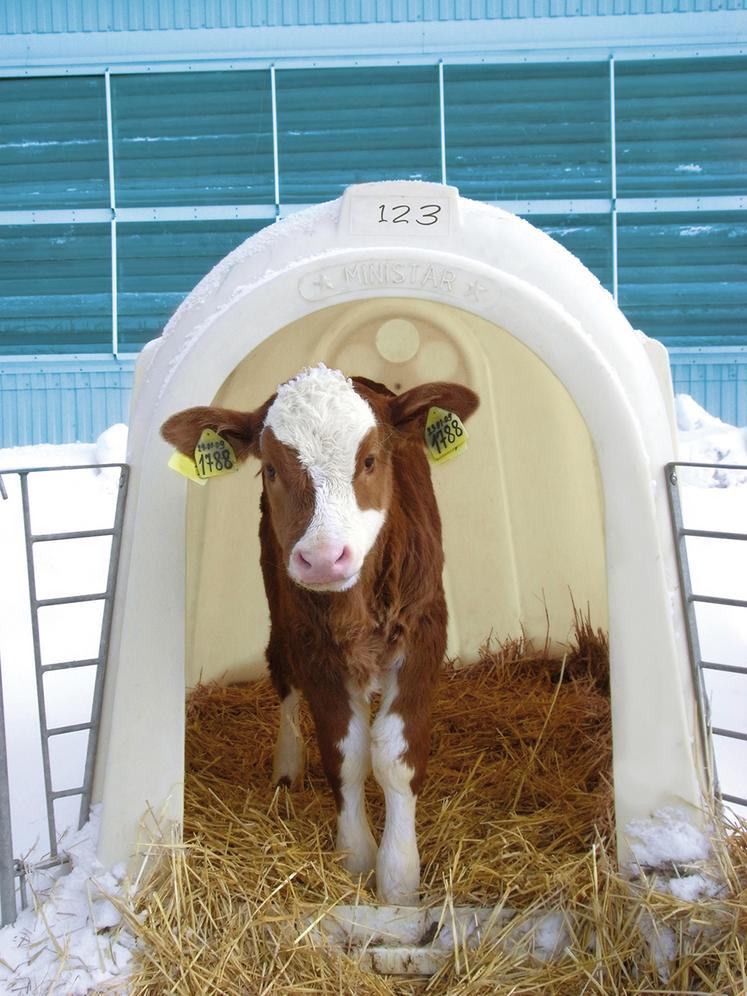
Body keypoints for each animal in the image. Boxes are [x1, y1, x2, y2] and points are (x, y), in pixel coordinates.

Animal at [162, 364, 478, 905]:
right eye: (270, 468)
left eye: (369, 459)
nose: (324, 558)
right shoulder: (314, 643)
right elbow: (346, 753)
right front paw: (356, 858)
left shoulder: (423, 631)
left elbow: (395, 755)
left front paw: (400, 877)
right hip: (278, 599)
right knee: (282, 672)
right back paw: (287, 765)